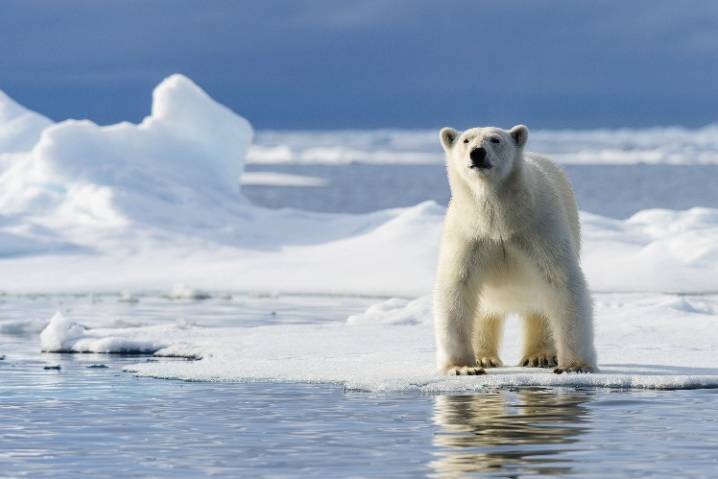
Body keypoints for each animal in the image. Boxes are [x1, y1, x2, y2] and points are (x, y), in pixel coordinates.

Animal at [436, 125, 600, 376]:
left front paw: (575, 366)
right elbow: (458, 286)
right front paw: (464, 367)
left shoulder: (538, 228)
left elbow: (561, 282)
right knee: (484, 313)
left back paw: (539, 356)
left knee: (541, 309)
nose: (477, 153)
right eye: (466, 140)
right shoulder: (470, 235)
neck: (499, 220)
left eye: (496, 140)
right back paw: (484, 358)